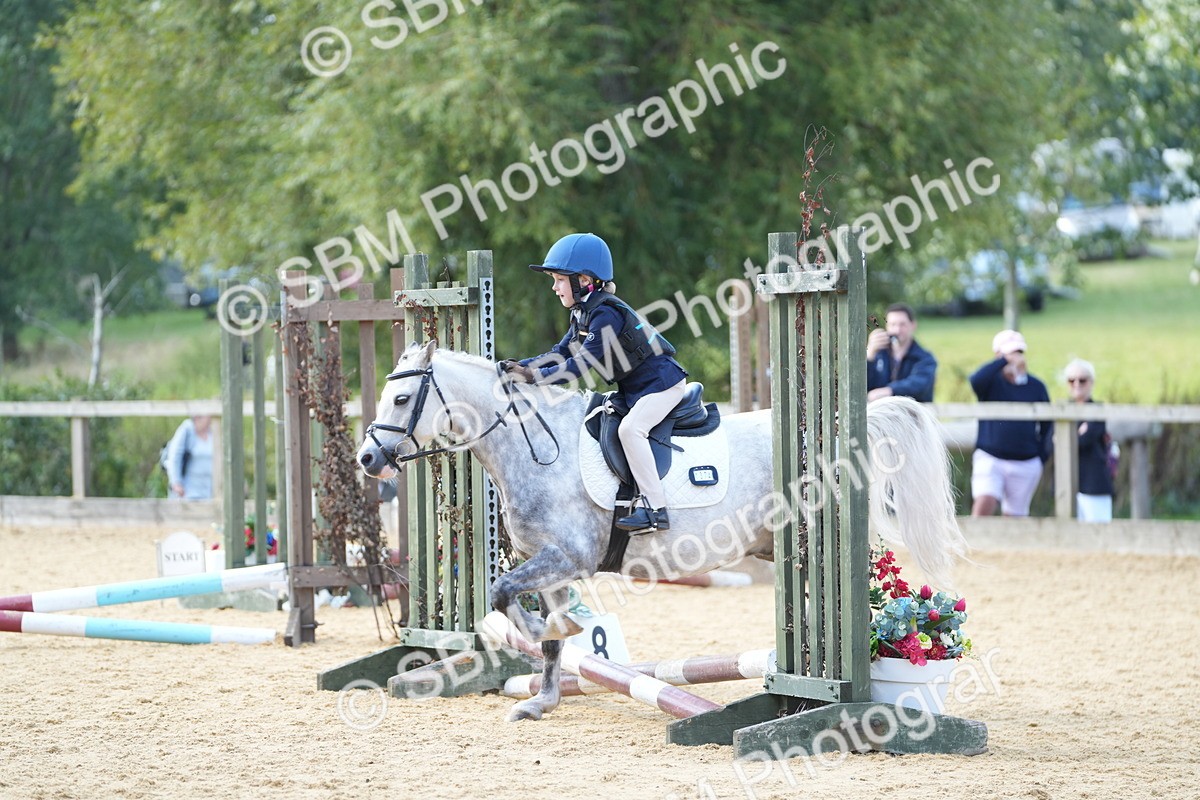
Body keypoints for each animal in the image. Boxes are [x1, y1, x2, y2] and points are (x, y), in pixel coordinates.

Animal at [356, 340, 967, 722]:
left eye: (403, 398)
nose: (367, 459)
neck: (532, 447)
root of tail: (838, 433)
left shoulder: (568, 557)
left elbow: (505, 595)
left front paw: (538, 632)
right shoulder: (551, 565)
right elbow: (548, 636)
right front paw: (542, 696)